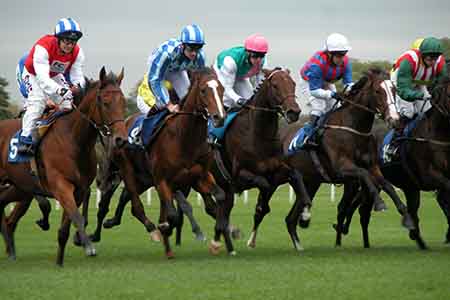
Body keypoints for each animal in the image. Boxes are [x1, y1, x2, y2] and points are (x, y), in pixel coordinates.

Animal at [0, 68, 127, 264]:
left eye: (123, 102)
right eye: (105, 103)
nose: (121, 139)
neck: (74, 140)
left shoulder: (79, 189)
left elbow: (65, 227)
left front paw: (60, 261)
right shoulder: (61, 186)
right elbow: (77, 217)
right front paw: (88, 246)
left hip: (20, 188)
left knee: (5, 211)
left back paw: (11, 250)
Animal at [90, 67, 229, 258]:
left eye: (222, 89)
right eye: (203, 90)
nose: (219, 117)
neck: (184, 137)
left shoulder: (199, 176)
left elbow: (219, 197)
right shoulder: (163, 180)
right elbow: (173, 214)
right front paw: (166, 228)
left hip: (144, 179)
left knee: (125, 197)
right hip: (126, 171)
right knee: (122, 203)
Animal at [280, 68, 416, 248]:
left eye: (394, 90)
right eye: (377, 91)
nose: (394, 119)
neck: (354, 128)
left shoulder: (373, 166)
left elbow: (387, 185)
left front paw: (407, 218)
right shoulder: (342, 167)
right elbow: (364, 175)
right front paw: (379, 203)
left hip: (311, 181)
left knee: (291, 218)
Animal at [336, 75, 450, 248]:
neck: (436, 134)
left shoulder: (414, 186)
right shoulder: (428, 176)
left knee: (361, 210)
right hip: (354, 182)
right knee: (346, 207)